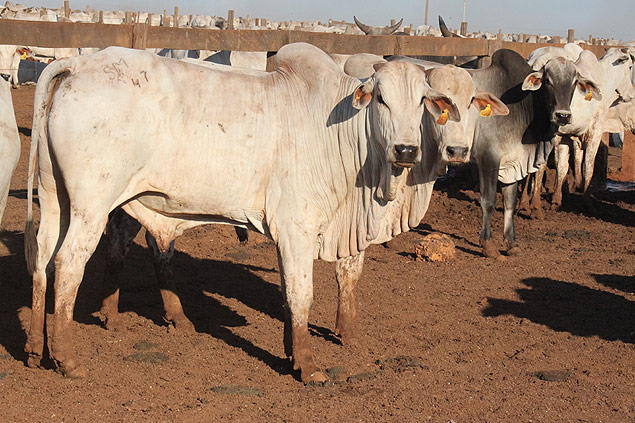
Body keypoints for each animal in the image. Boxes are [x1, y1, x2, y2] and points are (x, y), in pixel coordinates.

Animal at [23, 42, 458, 384]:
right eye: (381, 98)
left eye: (421, 100)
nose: (406, 150)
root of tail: (77, 64)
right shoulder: (297, 229)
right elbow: (301, 294)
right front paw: (308, 367)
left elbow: (288, 294)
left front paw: (291, 353)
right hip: (90, 205)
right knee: (68, 263)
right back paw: (67, 358)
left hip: (55, 197)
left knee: (42, 258)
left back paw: (33, 347)